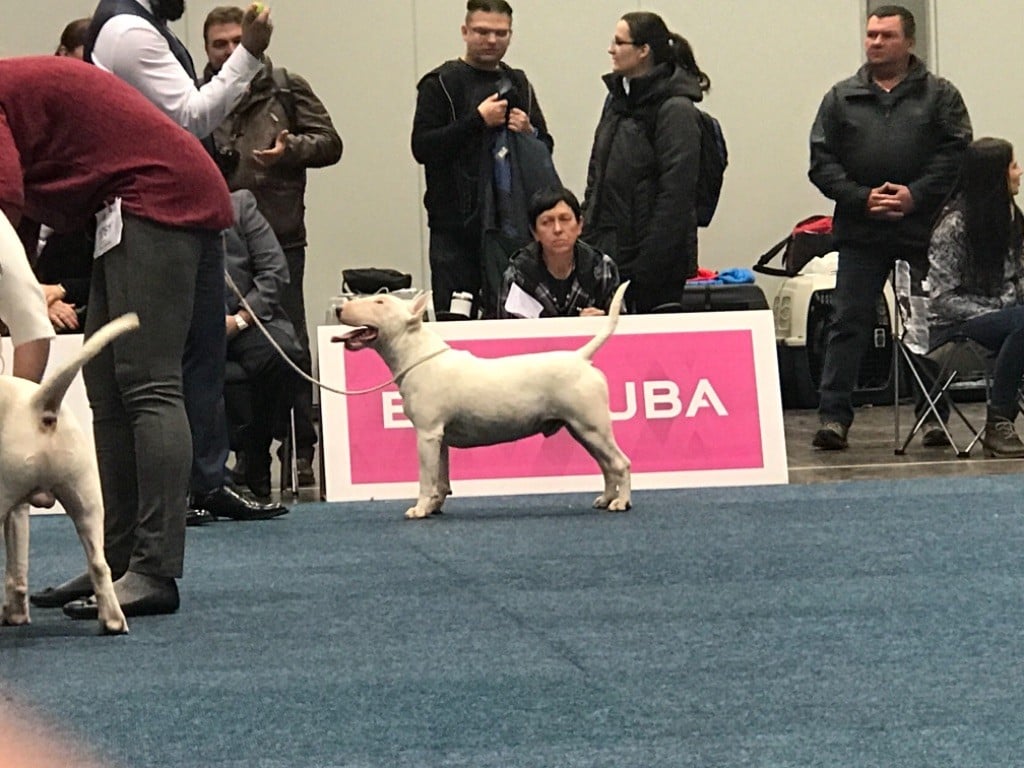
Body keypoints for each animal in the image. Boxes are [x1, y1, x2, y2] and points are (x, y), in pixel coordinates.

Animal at [0, 313, 138, 638]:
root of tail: (38, 404)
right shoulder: (17, 511)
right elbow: (16, 571)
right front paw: (16, 615)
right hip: (87, 501)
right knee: (99, 564)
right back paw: (113, 622)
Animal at [335, 282, 626, 518]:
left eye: (380, 302)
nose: (339, 309)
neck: (417, 355)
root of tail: (580, 357)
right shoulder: (439, 437)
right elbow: (441, 478)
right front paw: (433, 506)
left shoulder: (427, 434)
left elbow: (426, 477)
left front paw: (418, 509)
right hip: (580, 429)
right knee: (606, 465)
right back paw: (606, 499)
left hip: (591, 426)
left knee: (620, 463)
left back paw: (621, 503)